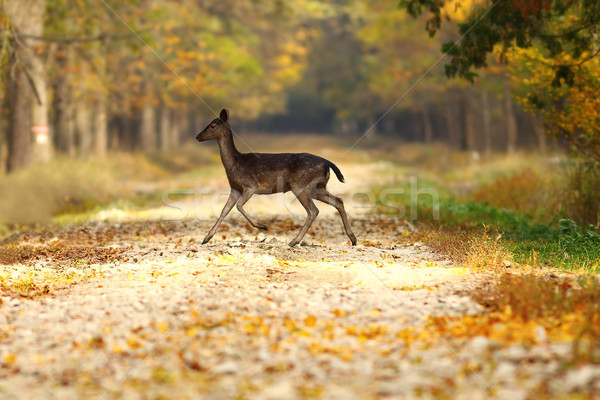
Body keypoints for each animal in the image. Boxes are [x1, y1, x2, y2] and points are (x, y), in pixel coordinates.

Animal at [196, 108, 356, 247]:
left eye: (212, 125)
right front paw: (206, 238)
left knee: (313, 211)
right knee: (338, 201)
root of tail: (327, 163)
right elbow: (224, 210)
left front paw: (262, 226)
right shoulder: (235, 188)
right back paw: (353, 239)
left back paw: (293, 241)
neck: (235, 163)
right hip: (318, 187)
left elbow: (239, 205)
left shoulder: (251, 185)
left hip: (301, 185)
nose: (198, 136)